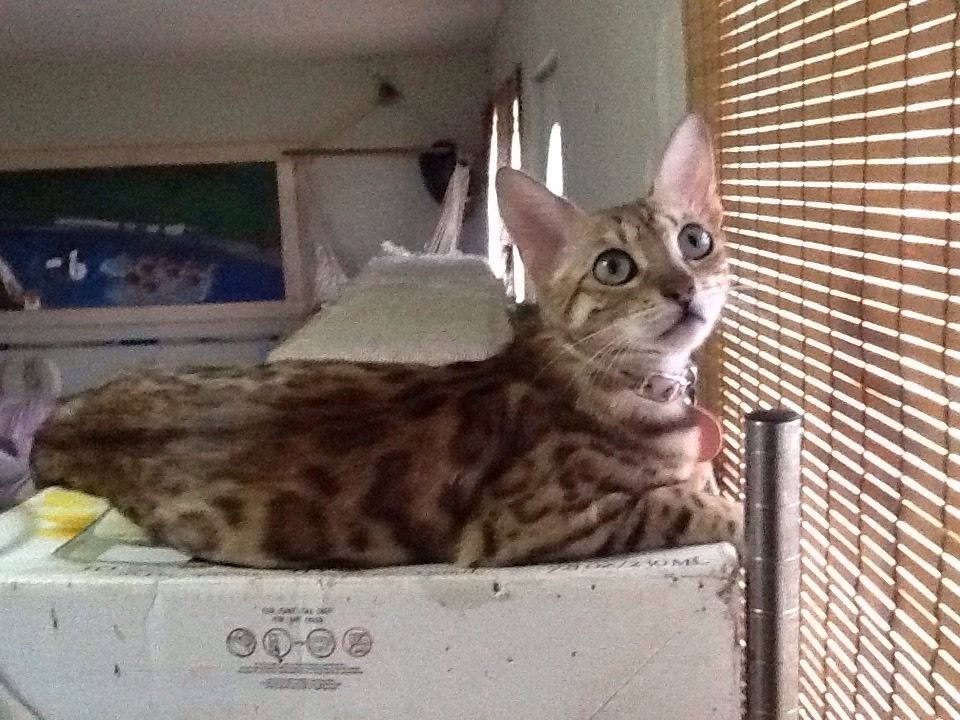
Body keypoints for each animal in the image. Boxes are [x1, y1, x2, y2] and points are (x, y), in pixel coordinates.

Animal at [28, 114, 742, 568]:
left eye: (694, 241)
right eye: (614, 266)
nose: (683, 288)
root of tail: (52, 427)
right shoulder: (529, 525)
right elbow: (688, 506)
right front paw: (737, 512)